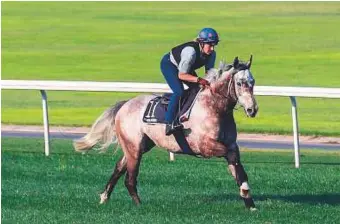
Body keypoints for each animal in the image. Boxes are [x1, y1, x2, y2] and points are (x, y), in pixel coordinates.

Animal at [73, 55, 258, 210]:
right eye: (240, 82)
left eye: (252, 81)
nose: (252, 109)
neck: (214, 108)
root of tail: (125, 104)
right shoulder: (205, 146)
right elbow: (232, 159)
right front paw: (245, 192)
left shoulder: (232, 145)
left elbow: (238, 167)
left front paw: (249, 201)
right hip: (134, 146)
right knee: (130, 178)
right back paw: (138, 204)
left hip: (140, 145)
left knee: (119, 168)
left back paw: (105, 197)